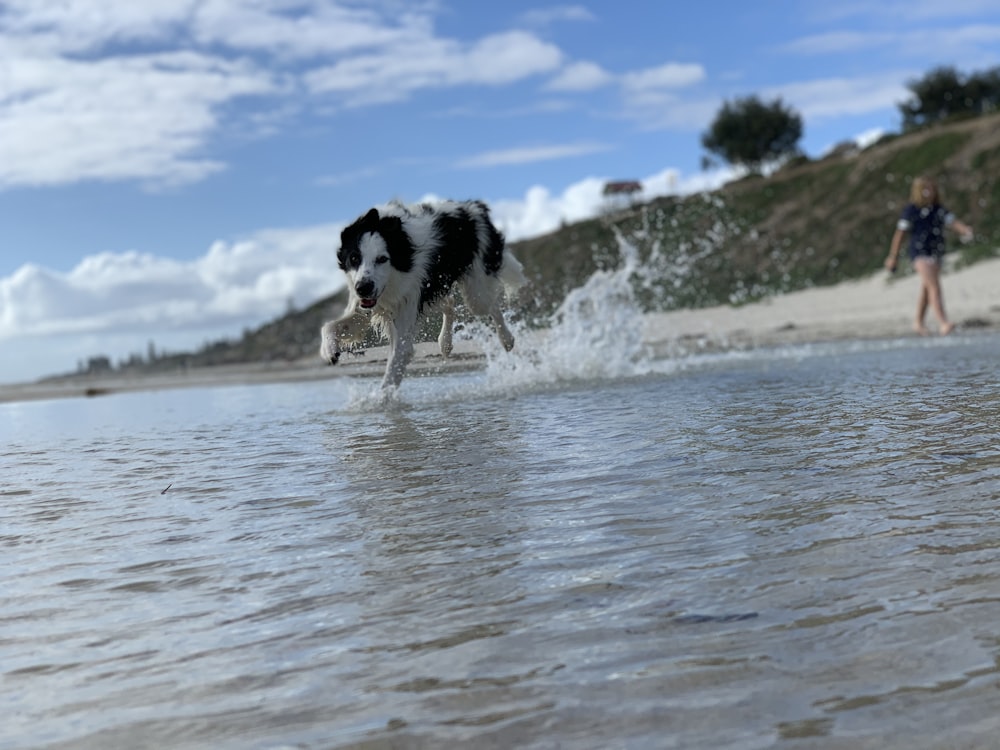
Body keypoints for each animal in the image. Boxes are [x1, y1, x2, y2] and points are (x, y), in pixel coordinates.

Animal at [320, 198, 528, 388]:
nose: (363, 288)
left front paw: (378, 401)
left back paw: (507, 340)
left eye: (382, 259)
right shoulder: (367, 304)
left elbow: (395, 364)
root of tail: (474, 206)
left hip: (476, 290)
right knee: (450, 302)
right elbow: (330, 326)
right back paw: (445, 343)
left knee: (490, 305)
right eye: (354, 258)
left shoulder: (405, 303)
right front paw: (329, 351)